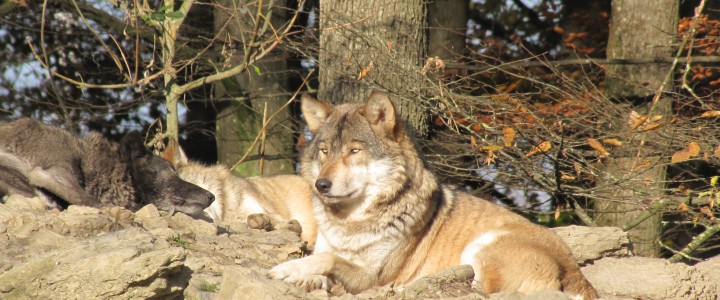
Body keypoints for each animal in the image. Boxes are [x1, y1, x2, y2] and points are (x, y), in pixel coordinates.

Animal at [270, 91, 596, 298]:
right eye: (325, 151)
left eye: (354, 150)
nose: (321, 185)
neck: (350, 224)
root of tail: (577, 275)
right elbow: (322, 260)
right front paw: (302, 277)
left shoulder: (372, 274)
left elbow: (329, 261)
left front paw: (286, 269)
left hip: (482, 246)